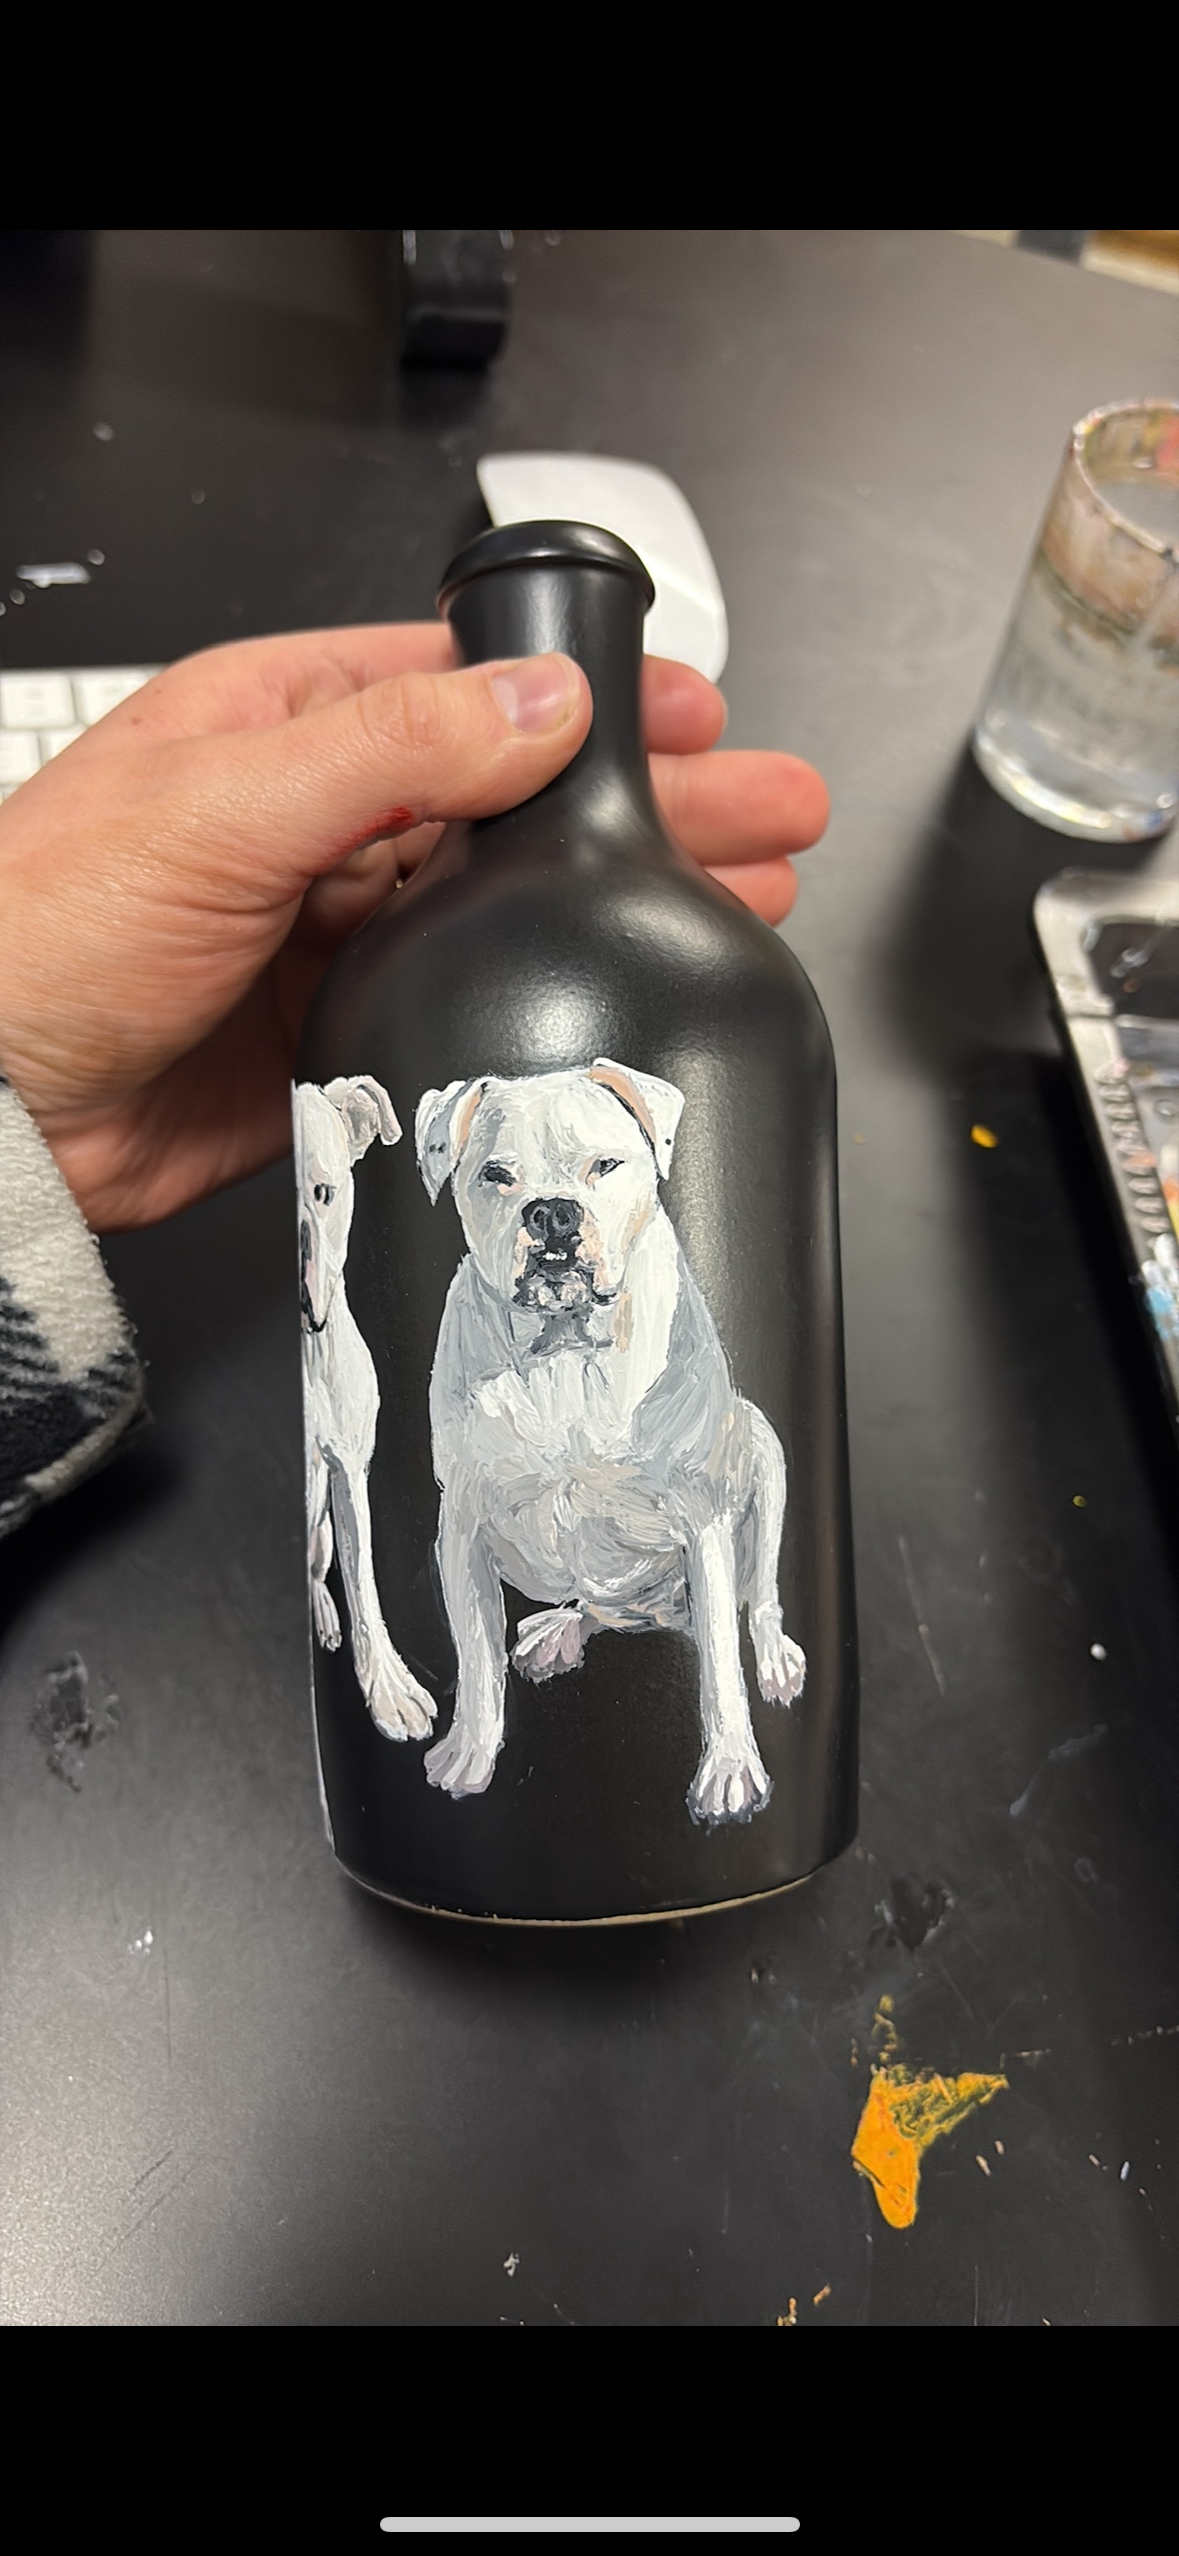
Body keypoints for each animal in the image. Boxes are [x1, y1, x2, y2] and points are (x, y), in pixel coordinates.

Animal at [415, 1058, 805, 1826]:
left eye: (604, 1165)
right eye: (496, 1174)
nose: (551, 1212)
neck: (566, 1356)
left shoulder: (703, 1522)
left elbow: (721, 1662)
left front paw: (730, 1770)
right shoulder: (462, 1526)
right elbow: (474, 1655)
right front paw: (469, 1754)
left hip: (764, 1448)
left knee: (759, 1594)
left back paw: (775, 1655)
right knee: (597, 1604)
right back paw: (559, 1630)